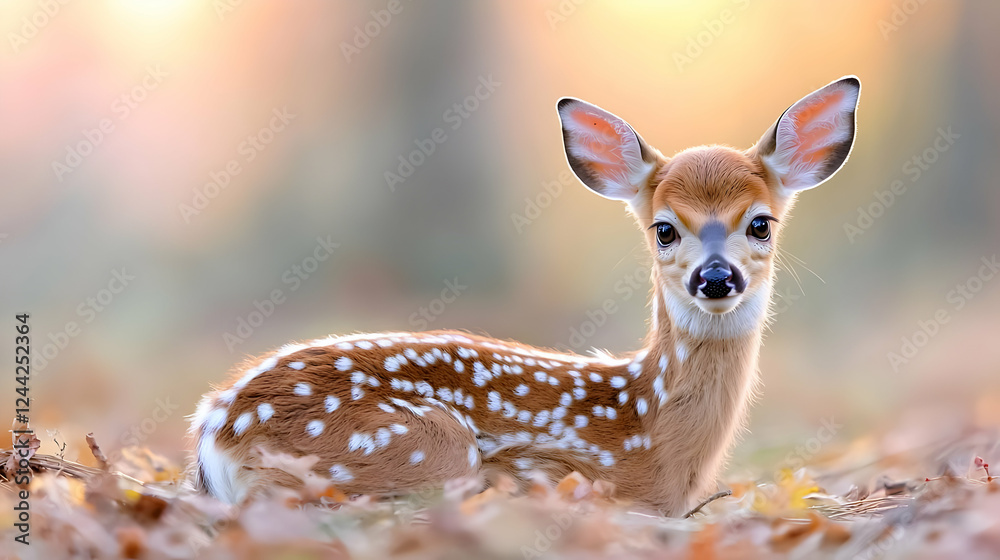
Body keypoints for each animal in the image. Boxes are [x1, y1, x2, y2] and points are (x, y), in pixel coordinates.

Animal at [189, 76, 860, 516]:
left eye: (761, 224)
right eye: (664, 229)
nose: (715, 279)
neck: (652, 433)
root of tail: (219, 425)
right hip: (421, 448)